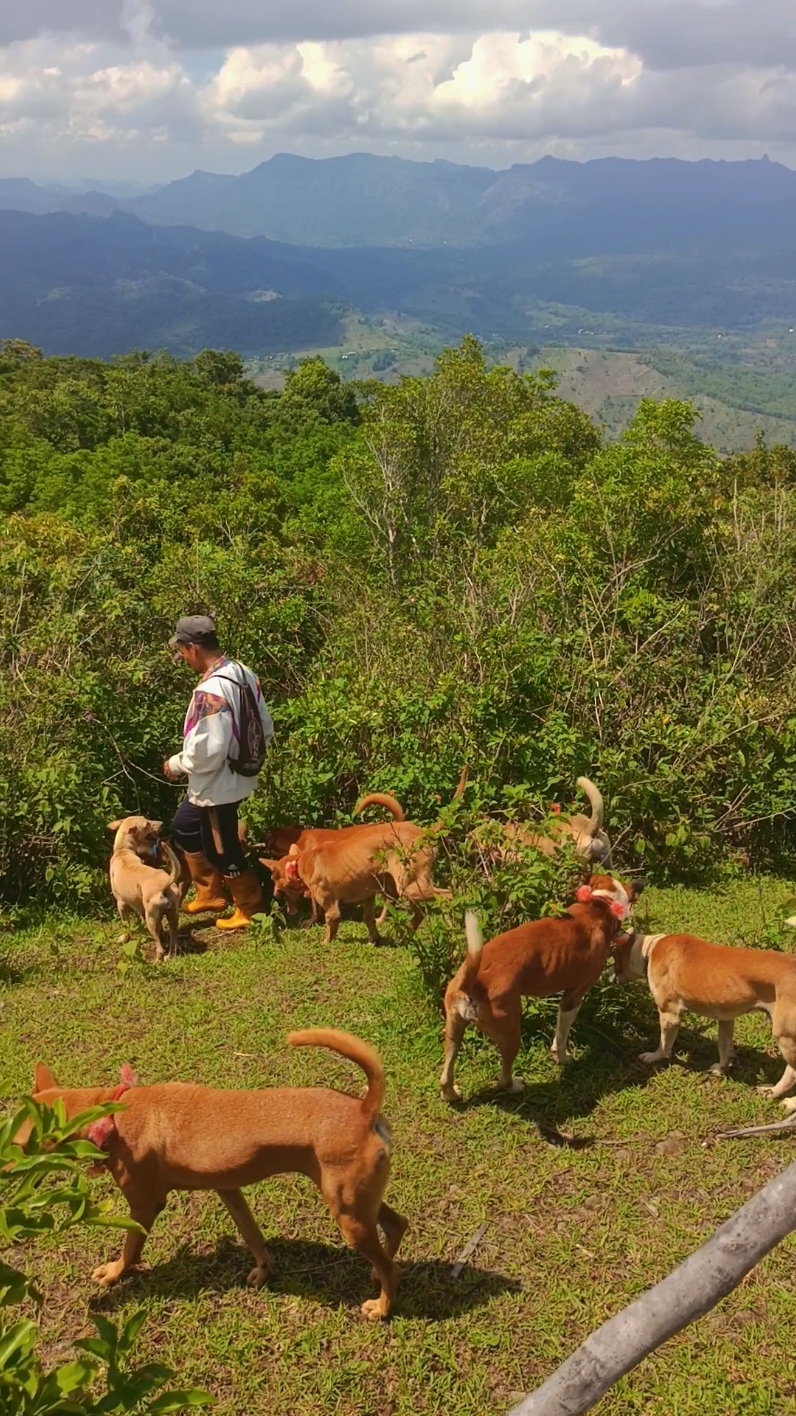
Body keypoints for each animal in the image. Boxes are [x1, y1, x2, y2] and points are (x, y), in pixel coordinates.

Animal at [23, 1030, 407, 1314]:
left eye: (21, 1142)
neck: (112, 1110)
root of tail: (364, 1109)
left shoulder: (144, 1206)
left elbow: (130, 1247)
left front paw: (117, 1272)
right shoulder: (228, 1188)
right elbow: (253, 1235)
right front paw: (263, 1271)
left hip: (348, 1214)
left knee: (392, 1266)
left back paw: (382, 1307)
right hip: (359, 1204)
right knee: (397, 1226)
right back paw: (377, 1275)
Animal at [106, 821, 181, 962]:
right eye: (147, 823)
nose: (161, 823)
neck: (123, 851)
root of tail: (165, 885)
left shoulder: (121, 904)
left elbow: (126, 924)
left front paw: (124, 938)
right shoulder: (140, 907)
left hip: (151, 918)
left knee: (159, 947)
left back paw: (157, 961)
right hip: (173, 915)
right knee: (174, 939)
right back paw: (169, 956)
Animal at [436, 866, 640, 1098]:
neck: (599, 906)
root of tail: (470, 982)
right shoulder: (574, 996)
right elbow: (562, 1034)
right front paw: (562, 1057)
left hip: (454, 1031)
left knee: (446, 1075)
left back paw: (451, 1095)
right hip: (510, 1033)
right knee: (503, 1078)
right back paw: (514, 1086)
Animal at [609, 928, 793, 1104]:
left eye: (614, 957)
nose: (609, 979)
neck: (648, 949)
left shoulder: (669, 1015)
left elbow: (664, 1044)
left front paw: (654, 1057)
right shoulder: (725, 1018)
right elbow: (724, 1046)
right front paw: (721, 1068)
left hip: (784, 1037)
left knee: (791, 1073)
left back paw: (779, 1096)